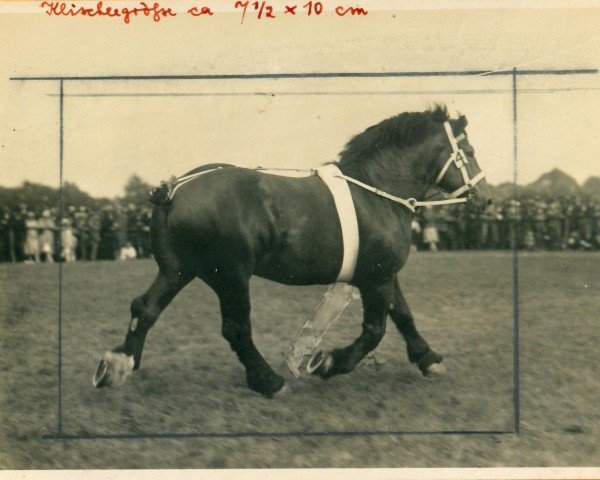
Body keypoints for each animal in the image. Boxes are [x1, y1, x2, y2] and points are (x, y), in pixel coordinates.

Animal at [94, 107, 492, 400]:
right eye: (470, 153)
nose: (486, 198)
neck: (377, 192)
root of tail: (174, 190)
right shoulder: (377, 278)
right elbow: (375, 330)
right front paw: (327, 362)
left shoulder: (382, 274)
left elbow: (404, 317)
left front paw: (429, 359)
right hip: (230, 277)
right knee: (235, 329)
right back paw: (269, 381)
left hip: (178, 270)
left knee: (145, 309)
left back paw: (117, 365)